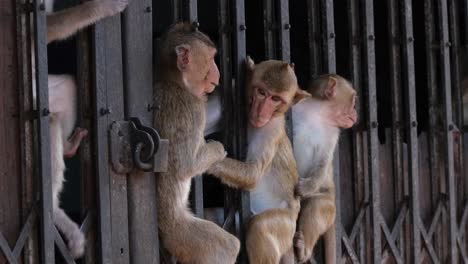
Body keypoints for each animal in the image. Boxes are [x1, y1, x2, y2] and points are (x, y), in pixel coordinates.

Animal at [153, 23, 241, 264]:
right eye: (211, 59)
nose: (218, 74)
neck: (172, 80)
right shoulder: (191, 107)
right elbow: (187, 164)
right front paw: (217, 149)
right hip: (178, 233)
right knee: (227, 248)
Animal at [206, 56, 310, 262]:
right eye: (262, 92)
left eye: (276, 99)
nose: (261, 112)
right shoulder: (231, 95)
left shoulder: (270, 128)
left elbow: (252, 173)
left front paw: (203, 157)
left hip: (285, 225)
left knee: (260, 226)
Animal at [292, 73, 358, 262]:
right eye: (353, 101)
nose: (356, 113)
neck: (318, 115)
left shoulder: (332, 132)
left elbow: (323, 161)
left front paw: (305, 188)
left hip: (326, 199)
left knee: (316, 206)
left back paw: (304, 250)